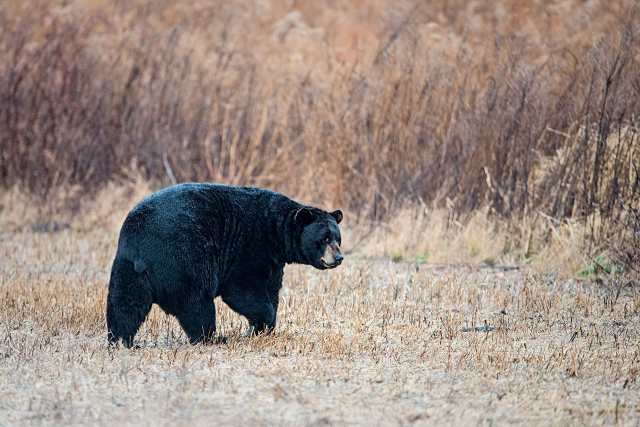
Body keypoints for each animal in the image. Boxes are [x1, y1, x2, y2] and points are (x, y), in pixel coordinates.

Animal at [106, 183, 343, 347]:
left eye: (337, 238)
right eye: (324, 239)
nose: (339, 258)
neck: (275, 233)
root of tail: (142, 246)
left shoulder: (274, 262)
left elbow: (272, 289)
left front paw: (264, 328)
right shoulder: (250, 248)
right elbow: (243, 290)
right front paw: (262, 324)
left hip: (127, 267)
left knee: (125, 303)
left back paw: (121, 340)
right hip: (185, 259)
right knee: (197, 304)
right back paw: (213, 337)